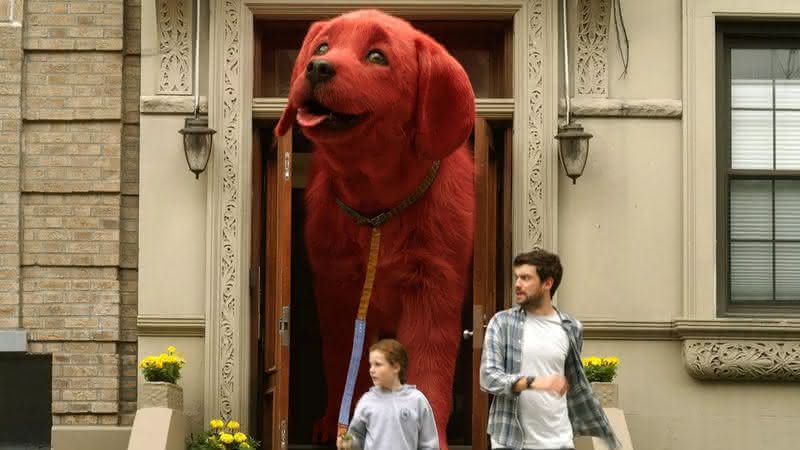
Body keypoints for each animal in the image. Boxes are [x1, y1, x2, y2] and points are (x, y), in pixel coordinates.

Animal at [276, 8, 476, 448]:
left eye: (377, 56)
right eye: (321, 46)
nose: (317, 67)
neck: (378, 212)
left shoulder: (434, 288)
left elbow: (430, 368)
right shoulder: (337, 288)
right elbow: (342, 365)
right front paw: (341, 425)